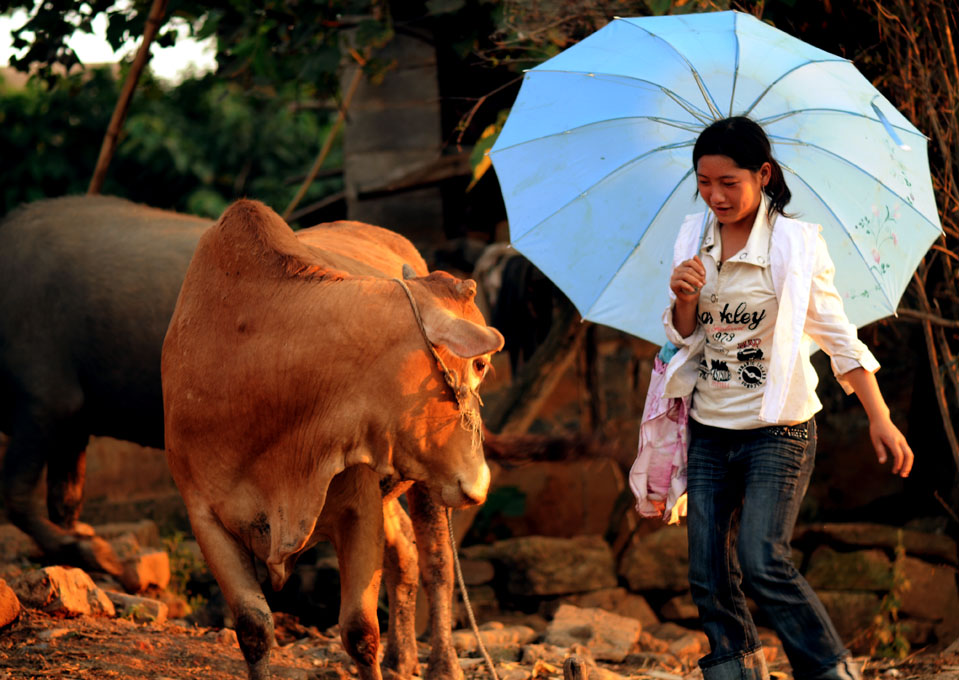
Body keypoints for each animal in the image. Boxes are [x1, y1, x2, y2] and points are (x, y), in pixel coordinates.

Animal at [161, 201, 506, 680]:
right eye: (480, 365)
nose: (481, 482)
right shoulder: (204, 515)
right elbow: (253, 627)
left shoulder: (358, 510)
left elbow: (360, 630)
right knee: (406, 555)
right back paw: (402, 658)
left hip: (428, 489)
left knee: (437, 563)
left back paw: (442, 664)